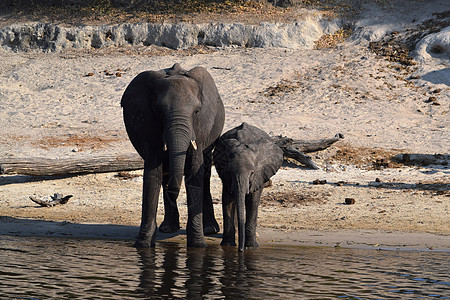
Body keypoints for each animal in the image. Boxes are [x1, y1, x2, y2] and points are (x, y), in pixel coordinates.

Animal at [121, 62, 225, 246]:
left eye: (196, 112)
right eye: (160, 112)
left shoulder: (201, 126)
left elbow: (195, 171)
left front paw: (198, 245)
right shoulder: (148, 124)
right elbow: (152, 174)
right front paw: (143, 245)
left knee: (204, 171)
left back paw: (209, 229)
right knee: (164, 175)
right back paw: (168, 228)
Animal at [214, 122, 284, 251]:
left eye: (252, 173)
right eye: (230, 172)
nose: (240, 250)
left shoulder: (259, 175)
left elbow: (252, 201)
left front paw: (251, 247)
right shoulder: (225, 174)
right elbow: (227, 199)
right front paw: (227, 245)